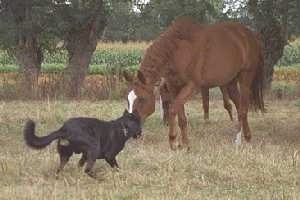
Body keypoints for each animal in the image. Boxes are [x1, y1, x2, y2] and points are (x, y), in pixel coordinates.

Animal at [127, 18, 264, 150]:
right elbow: (181, 118)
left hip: (245, 78)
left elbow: (173, 109)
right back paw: (243, 138)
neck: (178, 50)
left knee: (243, 110)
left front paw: (173, 141)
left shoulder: (192, 86)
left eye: (142, 99)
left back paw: (242, 140)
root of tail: (251, 35)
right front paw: (185, 144)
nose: (132, 131)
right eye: (128, 100)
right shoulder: (174, 87)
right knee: (239, 106)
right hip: (230, 83)